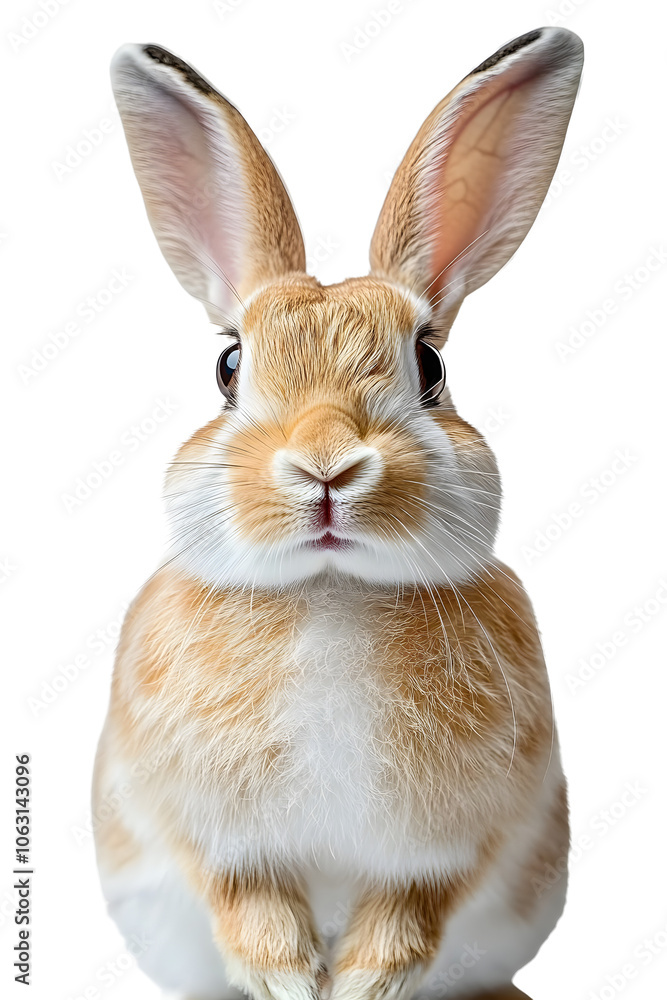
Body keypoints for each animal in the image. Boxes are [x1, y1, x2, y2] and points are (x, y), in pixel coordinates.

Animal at [93, 26, 583, 1000]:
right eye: (229, 368)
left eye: (430, 365)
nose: (325, 465)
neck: (330, 593)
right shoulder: (209, 837)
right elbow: (246, 903)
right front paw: (289, 981)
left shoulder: (448, 849)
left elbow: (406, 916)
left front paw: (358, 987)